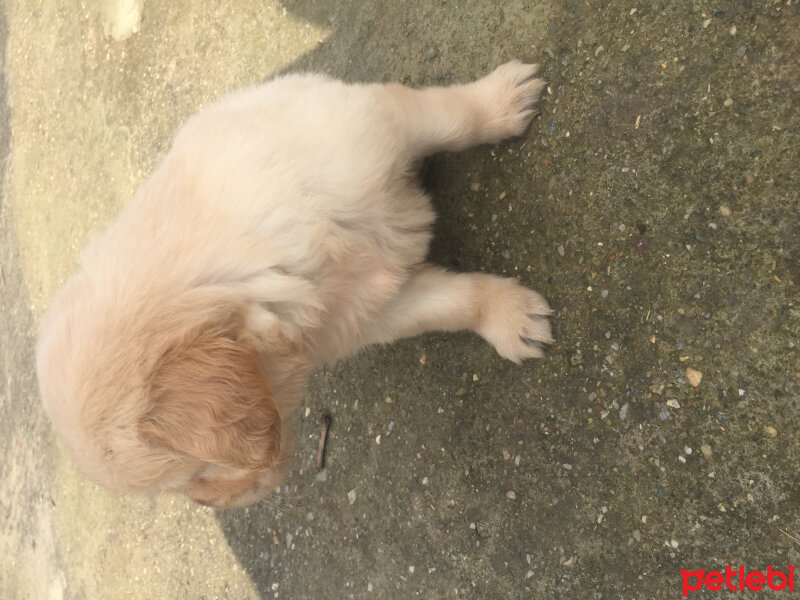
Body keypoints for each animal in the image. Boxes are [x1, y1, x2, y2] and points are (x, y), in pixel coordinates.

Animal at [36, 63, 552, 506]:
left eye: (199, 473)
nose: (216, 505)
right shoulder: (375, 312)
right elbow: (452, 303)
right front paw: (509, 316)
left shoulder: (376, 121)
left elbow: (452, 116)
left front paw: (497, 103)